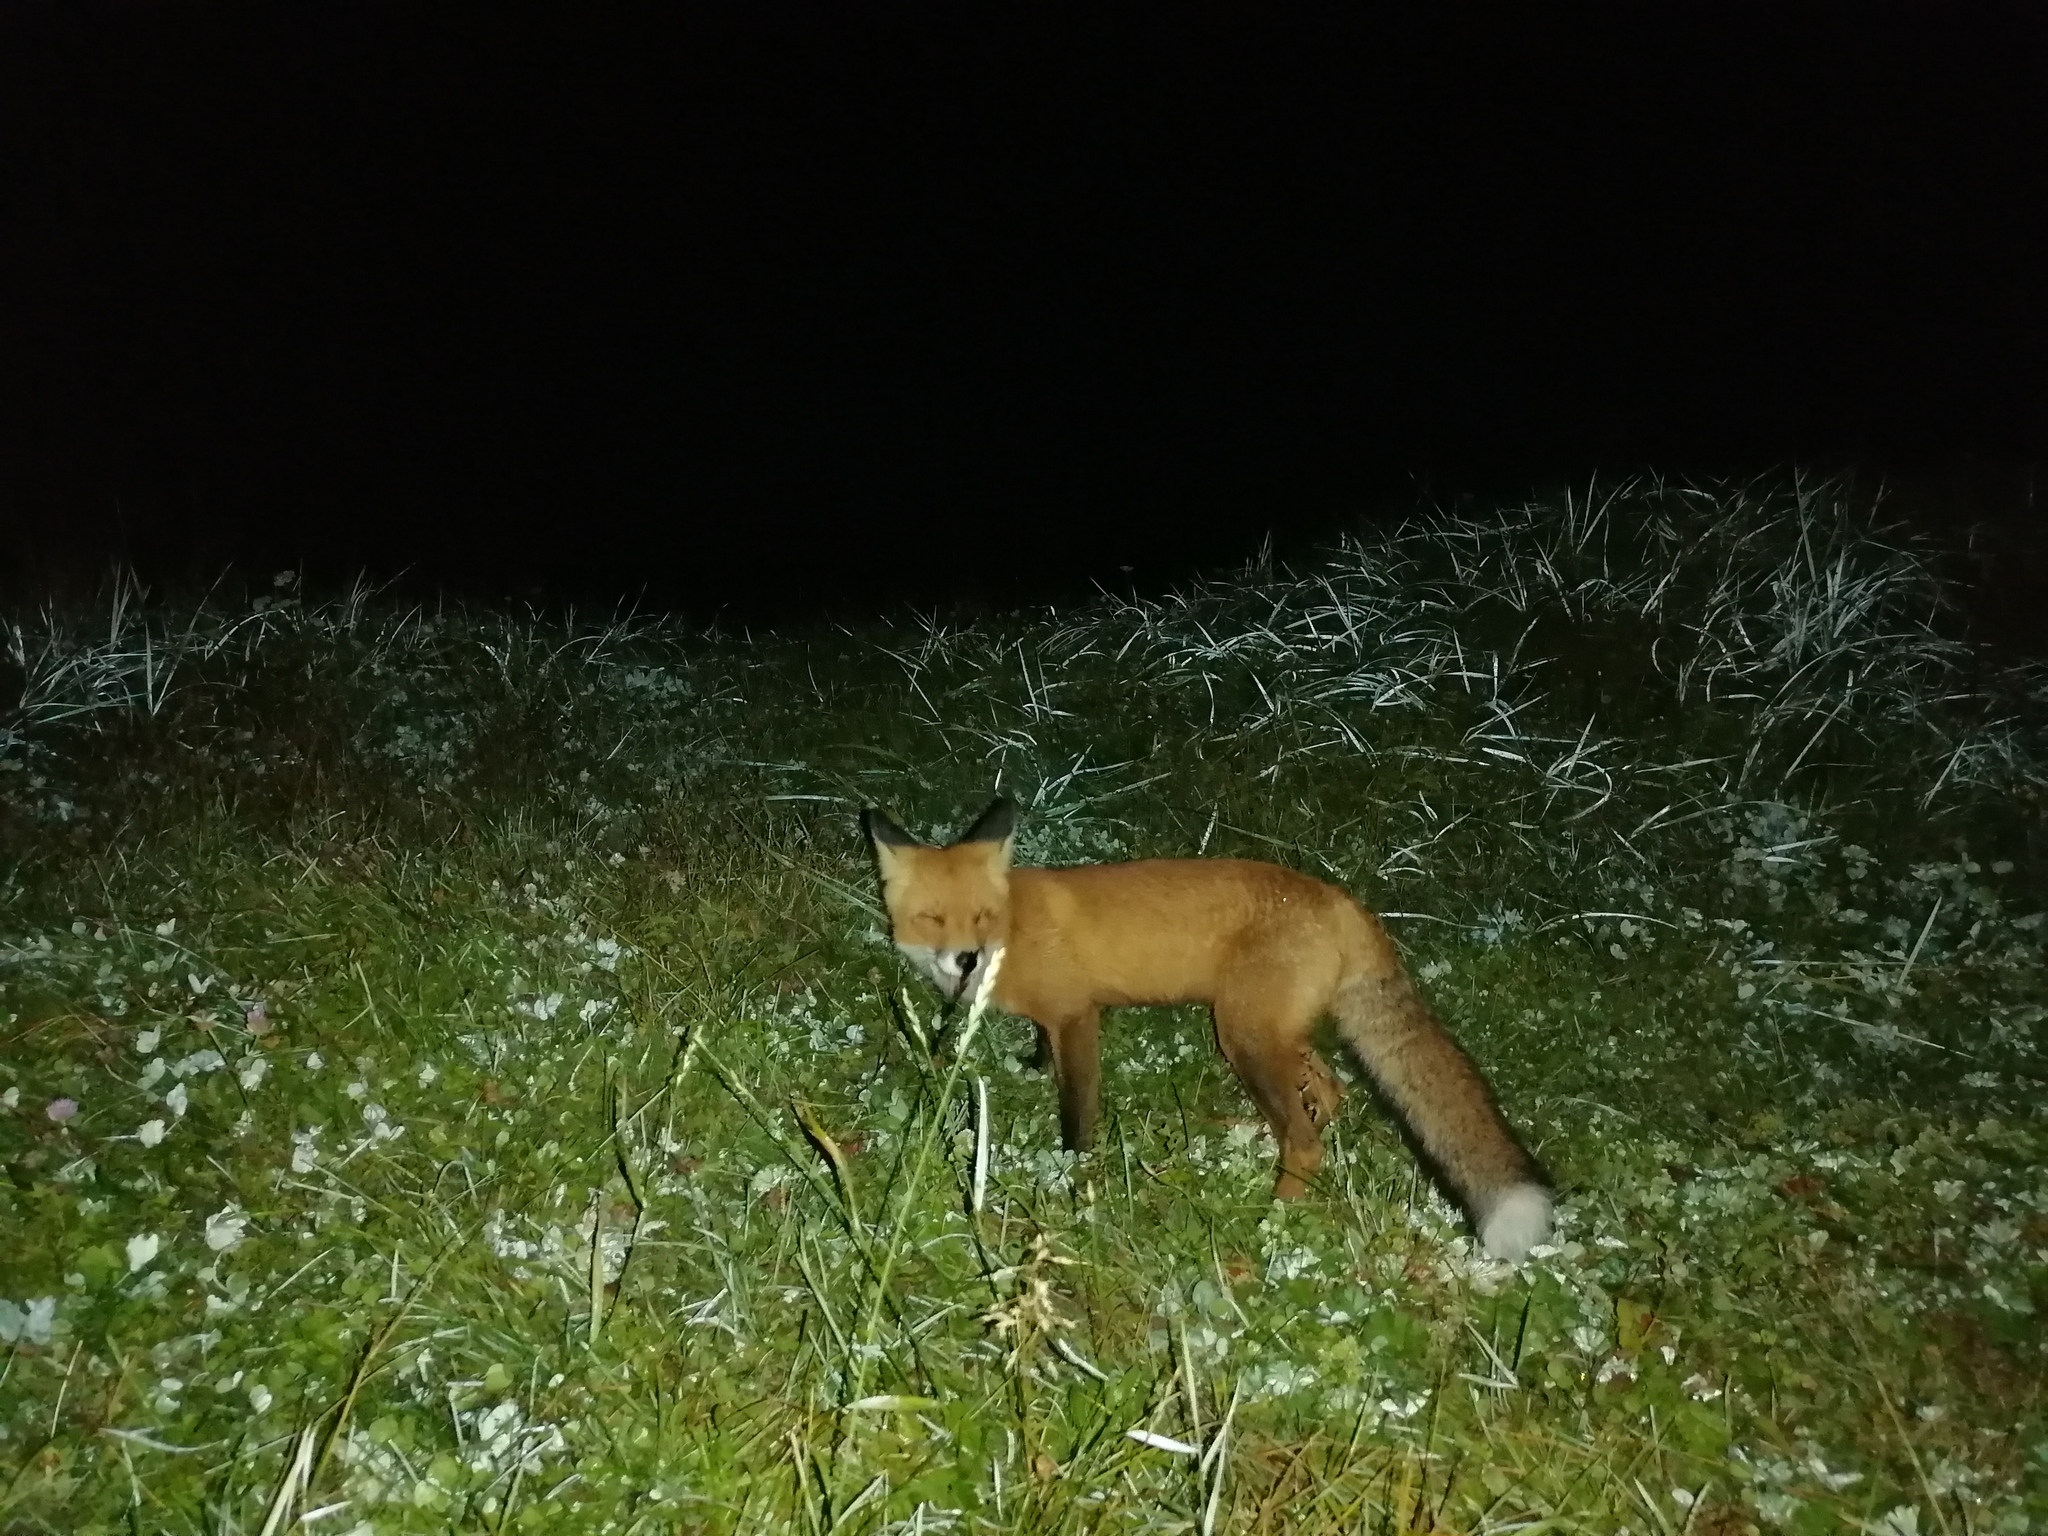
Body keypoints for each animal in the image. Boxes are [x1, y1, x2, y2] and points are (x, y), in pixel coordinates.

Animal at [864, 794, 1548, 1261]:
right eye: (932, 919)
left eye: (981, 916)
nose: (966, 960)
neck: (1015, 926)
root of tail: (1340, 899)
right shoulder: (1053, 1018)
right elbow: (1043, 1055)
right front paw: (1031, 1068)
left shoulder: (1078, 1014)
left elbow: (1076, 1111)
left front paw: (1073, 1174)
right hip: (1269, 1032)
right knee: (1331, 1091)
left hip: (1242, 1037)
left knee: (1306, 1139)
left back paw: (1274, 1219)